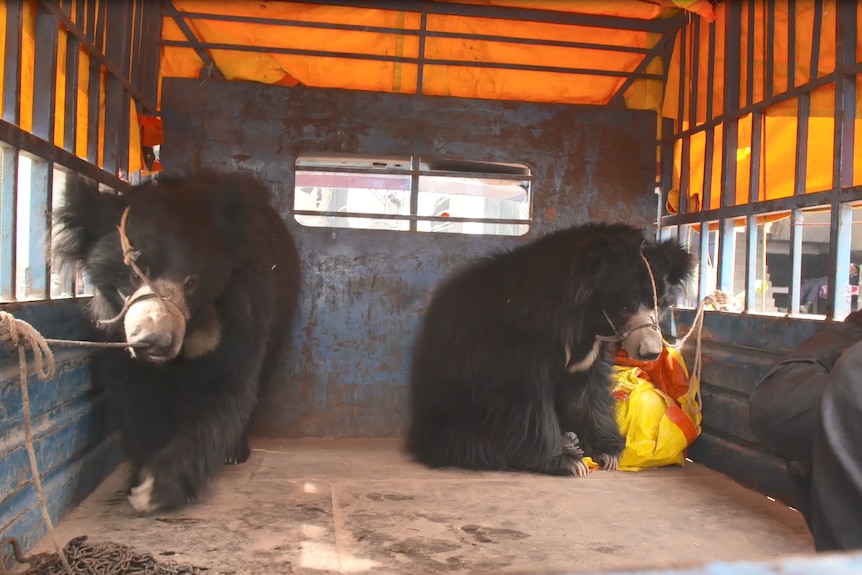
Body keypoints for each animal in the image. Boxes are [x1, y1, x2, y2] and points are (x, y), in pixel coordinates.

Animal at [51, 168, 300, 512]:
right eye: (134, 273)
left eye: (192, 282)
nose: (155, 342)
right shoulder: (116, 328)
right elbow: (137, 394)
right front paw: (140, 476)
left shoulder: (241, 309)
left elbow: (226, 386)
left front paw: (158, 487)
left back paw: (236, 452)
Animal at [408, 223, 700, 480]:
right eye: (625, 308)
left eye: (659, 304)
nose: (650, 351)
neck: (583, 320)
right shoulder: (521, 343)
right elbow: (528, 399)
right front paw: (568, 462)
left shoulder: (590, 351)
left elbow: (587, 391)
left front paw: (607, 453)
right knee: (473, 445)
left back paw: (572, 438)